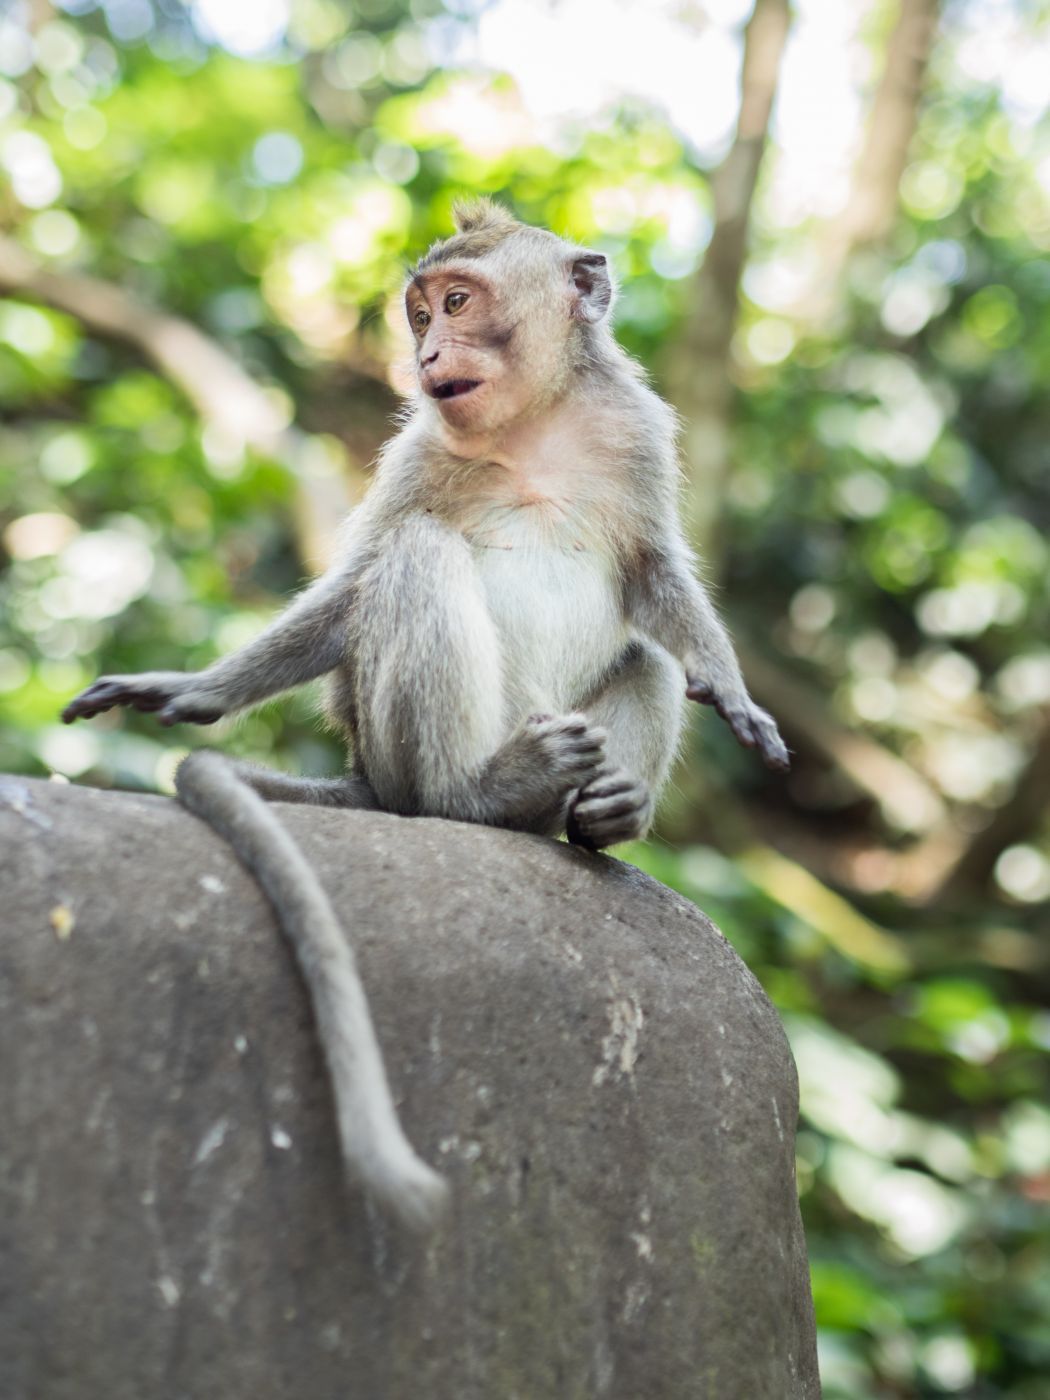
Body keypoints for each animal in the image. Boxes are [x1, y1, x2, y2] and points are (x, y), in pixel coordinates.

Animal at [62, 199, 789, 1233]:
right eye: (421, 313)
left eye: (456, 301)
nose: (426, 350)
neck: (533, 429)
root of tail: (371, 771)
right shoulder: (415, 451)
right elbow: (357, 590)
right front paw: (193, 689)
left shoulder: (641, 432)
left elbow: (654, 576)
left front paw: (728, 688)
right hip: (395, 741)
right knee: (418, 555)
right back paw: (478, 794)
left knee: (645, 655)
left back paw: (601, 817)